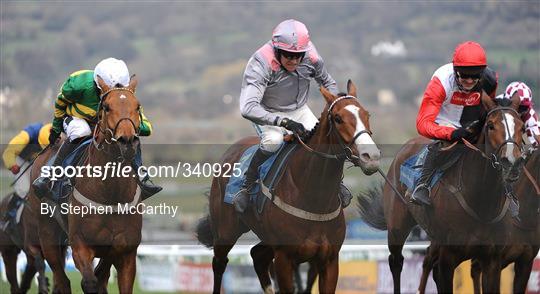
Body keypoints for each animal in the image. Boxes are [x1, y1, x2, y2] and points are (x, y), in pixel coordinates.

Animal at [25, 75, 143, 292]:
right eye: (106, 107)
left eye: (137, 106)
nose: (128, 141)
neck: (110, 194)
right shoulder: (80, 244)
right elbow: (89, 282)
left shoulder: (125, 252)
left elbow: (106, 277)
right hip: (47, 233)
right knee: (62, 279)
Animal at [196, 81, 382, 294]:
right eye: (338, 118)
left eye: (367, 115)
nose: (371, 156)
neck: (313, 196)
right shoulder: (284, 258)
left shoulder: (329, 260)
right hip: (225, 231)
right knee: (219, 263)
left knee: (257, 255)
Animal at [356, 93, 524, 292]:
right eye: (491, 125)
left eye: (521, 126)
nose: (512, 163)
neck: (481, 201)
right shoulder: (447, 259)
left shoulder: (492, 261)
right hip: (397, 227)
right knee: (396, 262)